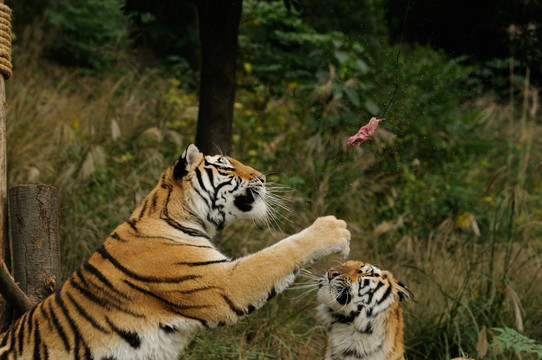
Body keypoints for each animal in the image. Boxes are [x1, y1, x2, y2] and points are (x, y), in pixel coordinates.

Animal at [0, 144, 350, 360]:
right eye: (226, 167)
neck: (179, 213)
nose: (263, 178)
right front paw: (333, 229)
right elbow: (278, 253)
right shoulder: (222, 284)